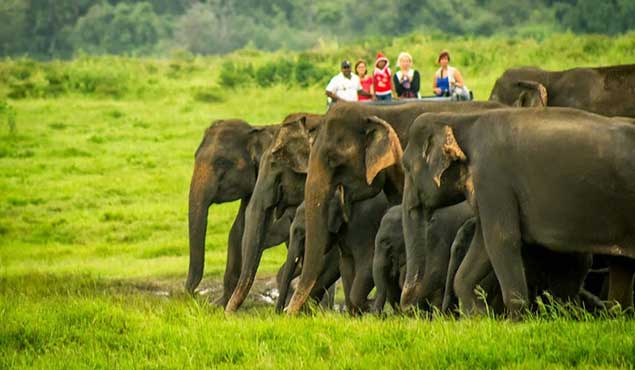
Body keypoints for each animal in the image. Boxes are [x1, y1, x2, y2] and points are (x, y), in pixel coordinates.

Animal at [186, 112, 320, 306]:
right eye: (195, 156)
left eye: (222, 162)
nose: (192, 297)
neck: (256, 130)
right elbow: (238, 230)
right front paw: (219, 306)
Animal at [402, 107, 635, 316]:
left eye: (406, 167)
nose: (408, 308)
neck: (459, 117)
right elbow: (483, 245)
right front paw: (478, 317)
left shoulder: (492, 178)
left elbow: (502, 239)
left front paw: (515, 323)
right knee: (622, 266)